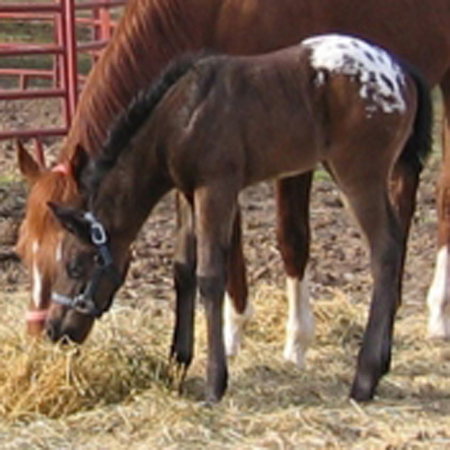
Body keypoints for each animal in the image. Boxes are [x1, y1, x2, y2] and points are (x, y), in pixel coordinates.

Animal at [15, 0, 448, 362]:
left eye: (70, 257)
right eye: (22, 252)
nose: (43, 335)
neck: (212, 10)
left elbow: (291, 238)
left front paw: (296, 341)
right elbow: (223, 242)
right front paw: (231, 332)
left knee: (440, 196)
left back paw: (438, 313)